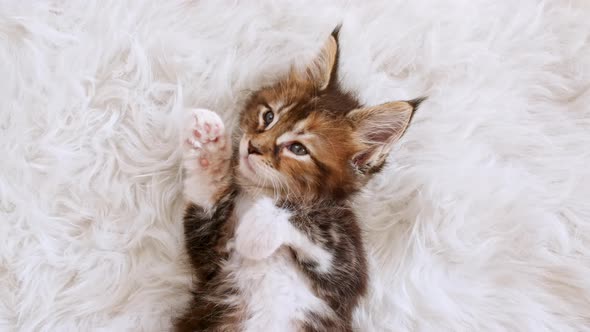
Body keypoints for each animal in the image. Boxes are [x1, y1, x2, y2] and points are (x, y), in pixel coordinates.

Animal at [176, 27, 426, 330]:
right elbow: (207, 196)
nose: (252, 147)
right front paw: (208, 146)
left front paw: (257, 230)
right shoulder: (211, 253)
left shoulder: (347, 267)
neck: (262, 191)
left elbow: (307, 226)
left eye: (298, 149)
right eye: (268, 116)